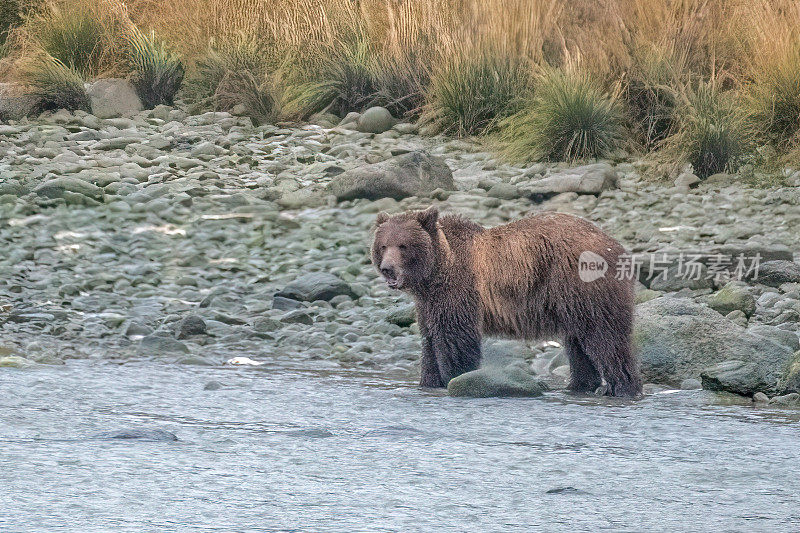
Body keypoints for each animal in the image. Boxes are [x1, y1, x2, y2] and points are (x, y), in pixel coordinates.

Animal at [372, 206, 640, 396]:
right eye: (383, 245)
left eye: (403, 245)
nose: (387, 268)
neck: (436, 272)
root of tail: (615, 245)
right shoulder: (429, 303)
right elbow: (429, 342)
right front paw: (429, 381)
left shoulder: (459, 290)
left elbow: (454, 340)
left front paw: (456, 377)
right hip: (572, 303)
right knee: (579, 346)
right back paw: (579, 385)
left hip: (584, 287)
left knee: (606, 339)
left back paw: (623, 387)